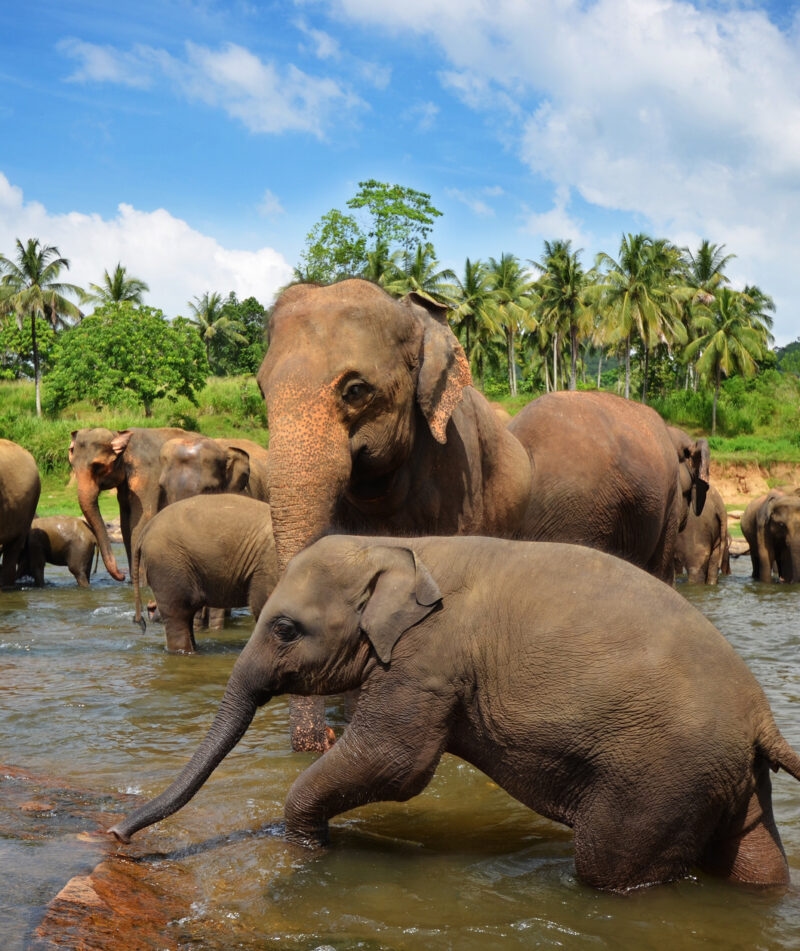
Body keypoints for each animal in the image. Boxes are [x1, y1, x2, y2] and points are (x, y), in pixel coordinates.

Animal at [108, 533, 800, 893]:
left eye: (283, 628)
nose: (116, 837)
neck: (396, 548)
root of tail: (762, 720)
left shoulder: (427, 661)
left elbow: (397, 765)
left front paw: (309, 846)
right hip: (720, 778)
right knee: (755, 862)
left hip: (657, 777)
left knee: (609, 867)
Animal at [132, 494, 279, 653]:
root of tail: (145, 530)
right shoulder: (268, 564)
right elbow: (263, 605)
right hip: (167, 564)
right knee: (177, 615)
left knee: (187, 613)